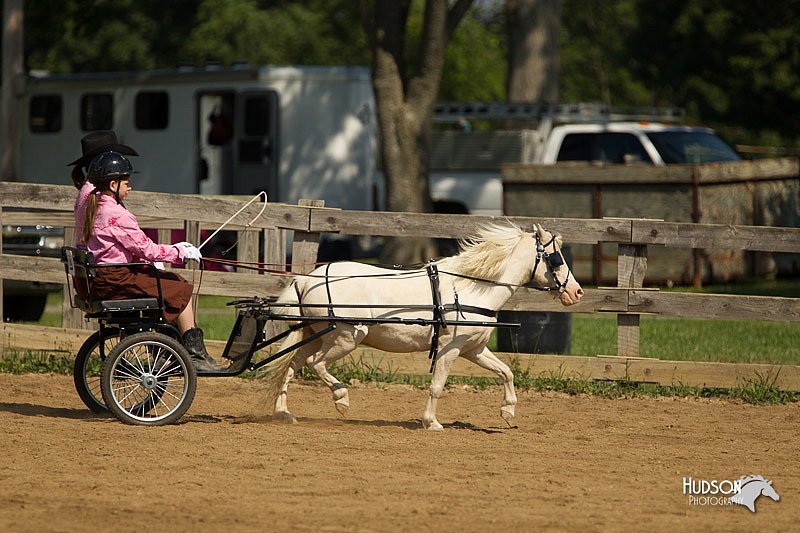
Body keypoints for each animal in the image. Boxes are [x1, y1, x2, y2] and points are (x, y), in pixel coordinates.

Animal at [262, 222, 580, 430]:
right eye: (556, 258)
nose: (576, 292)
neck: (471, 289)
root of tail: (304, 279)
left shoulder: (474, 349)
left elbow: (506, 372)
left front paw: (508, 411)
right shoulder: (450, 350)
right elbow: (437, 385)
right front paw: (431, 422)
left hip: (315, 335)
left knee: (290, 366)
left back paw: (284, 413)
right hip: (345, 337)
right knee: (315, 364)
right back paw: (341, 399)